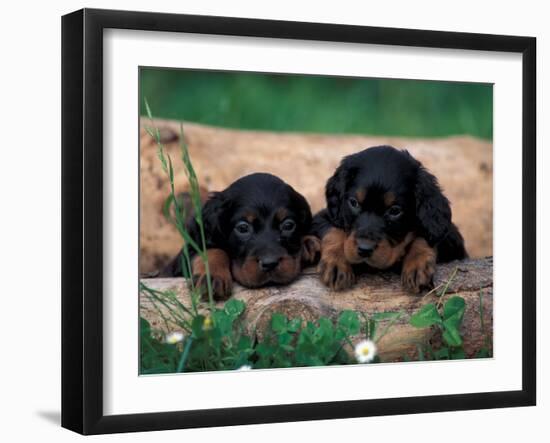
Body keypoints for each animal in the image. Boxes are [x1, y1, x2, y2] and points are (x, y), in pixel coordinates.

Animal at [162, 172, 322, 300]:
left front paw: (308, 243)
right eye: (243, 228)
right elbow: (211, 250)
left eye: (288, 225)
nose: (269, 263)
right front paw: (212, 277)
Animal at [312, 145, 468, 294]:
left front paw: (417, 264)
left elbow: (423, 236)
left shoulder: (449, 234)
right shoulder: (325, 216)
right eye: (354, 203)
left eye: (395, 211)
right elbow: (333, 230)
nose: (364, 249)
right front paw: (336, 262)